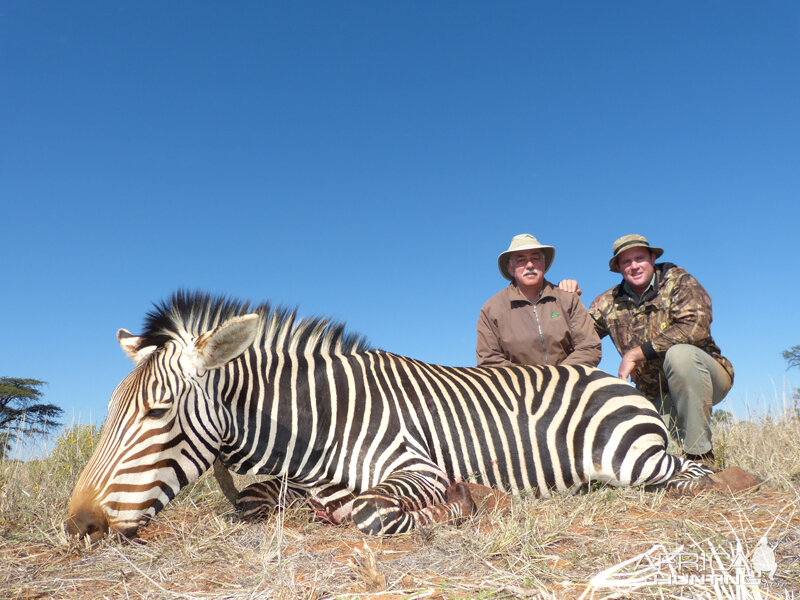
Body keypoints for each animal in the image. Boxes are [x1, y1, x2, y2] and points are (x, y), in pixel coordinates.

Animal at [69, 290, 732, 540]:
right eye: (112, 412)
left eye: (157, 413)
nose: (79, 525)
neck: (320, 424)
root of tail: (613, 378)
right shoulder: (288, 484)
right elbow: (256, 501)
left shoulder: (419, 468)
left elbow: (370, 511)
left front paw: (464, 506)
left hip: (637, 460)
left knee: (694, 475)